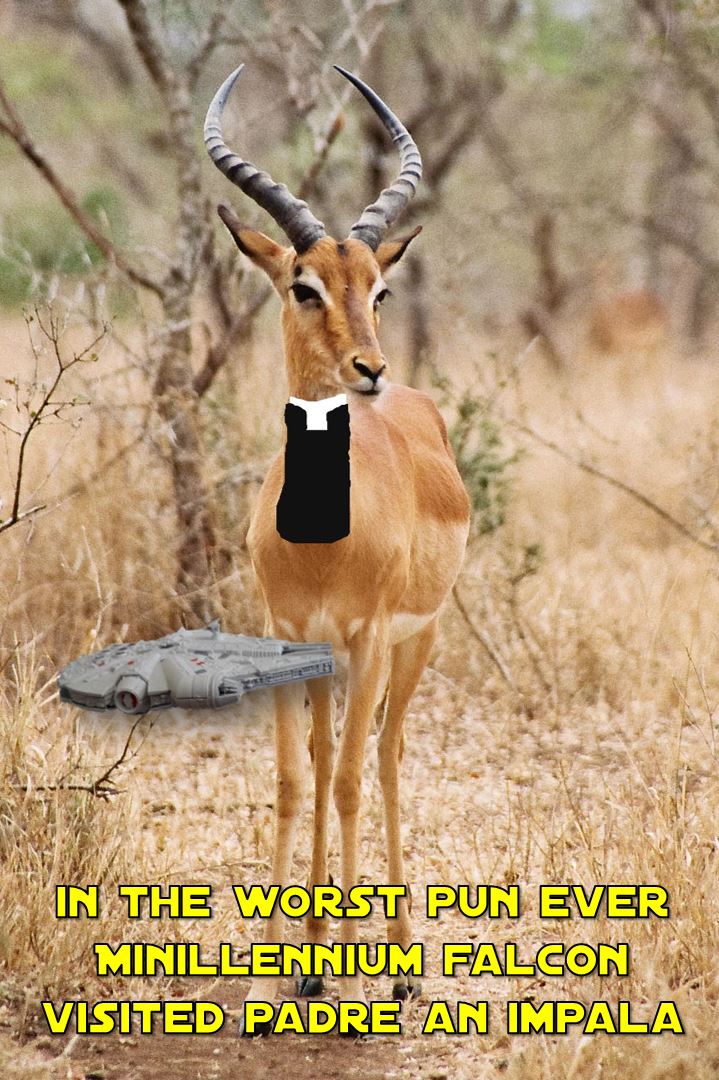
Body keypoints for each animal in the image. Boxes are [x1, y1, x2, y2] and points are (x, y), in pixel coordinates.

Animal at [205, 65, 470, 1031]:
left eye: (376, 287)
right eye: (302, 285)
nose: (369, 369)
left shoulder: (367, 636)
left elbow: (353, 779)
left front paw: (356, 975)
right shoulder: (287, 633)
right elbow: (295, 780)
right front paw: (276, 974)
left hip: (414, 644)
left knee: (384, 758)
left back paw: (396, 963)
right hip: (331, 658)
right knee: (325, 764)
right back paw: (318, 957)